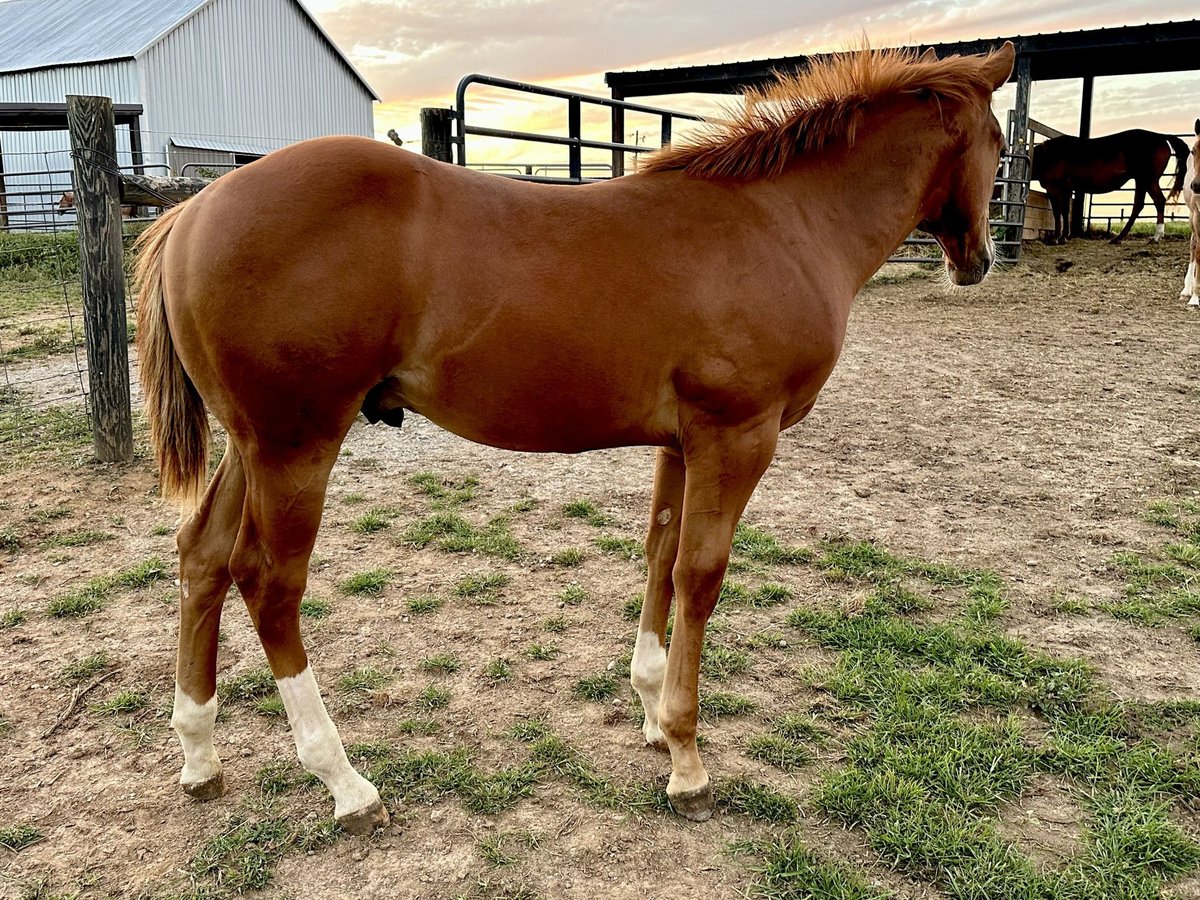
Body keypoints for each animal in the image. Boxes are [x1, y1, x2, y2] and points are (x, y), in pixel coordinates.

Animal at [131, 40, 1012, 830]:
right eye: (1001, 146)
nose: (980, 259)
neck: (782, 221)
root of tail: (194, 211)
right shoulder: (738, 436)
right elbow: (700, 575)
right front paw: (688, 760)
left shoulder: (682, 441)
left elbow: (661, 553)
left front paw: (653, 715)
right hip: (297, 445)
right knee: (268, 584)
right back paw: (346, 784)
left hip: (252, 445)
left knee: (202, 557)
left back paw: (200, 755)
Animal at [1032, 127, 1190, 244]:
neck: (1048, 155)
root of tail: (1161, 136)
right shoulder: (1066, 189)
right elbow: (1065, 211)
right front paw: (1064, 236)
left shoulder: (1054, 189)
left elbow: (1057, 212)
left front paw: (1055, 238)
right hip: (1141, 181)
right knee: (1138, 205)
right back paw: (1119, 238)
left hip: (1148, 179)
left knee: (1158, 201)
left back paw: (1156, 237)